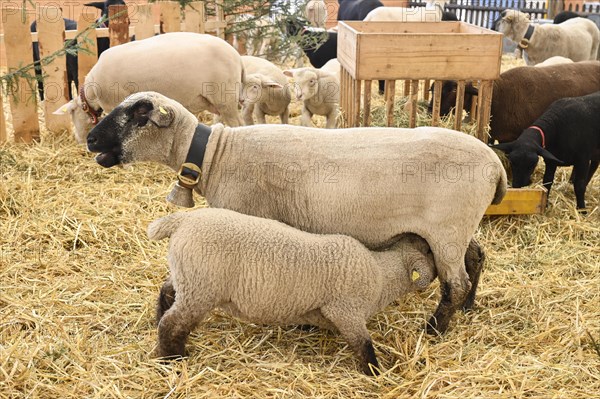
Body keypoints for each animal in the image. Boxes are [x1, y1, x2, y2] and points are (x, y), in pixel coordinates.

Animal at [85, 92, 506, 336]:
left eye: (138, 114)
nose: (90, 138)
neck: (214, 154)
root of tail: (495, 165)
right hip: (458, 229)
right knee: (476, 258)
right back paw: (469, 308)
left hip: (446, 230)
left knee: (455, 283)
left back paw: (435, 329)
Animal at [148, 208, 438, 376]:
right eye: (427, 250)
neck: (381, 274)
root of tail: (184, 219)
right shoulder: (346, 312)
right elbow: (364, 344)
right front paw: (375, 372)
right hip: (200, 288)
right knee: (173, 323)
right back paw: (173, 357)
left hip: (187, 277)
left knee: (167, 291)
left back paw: (159, 320)